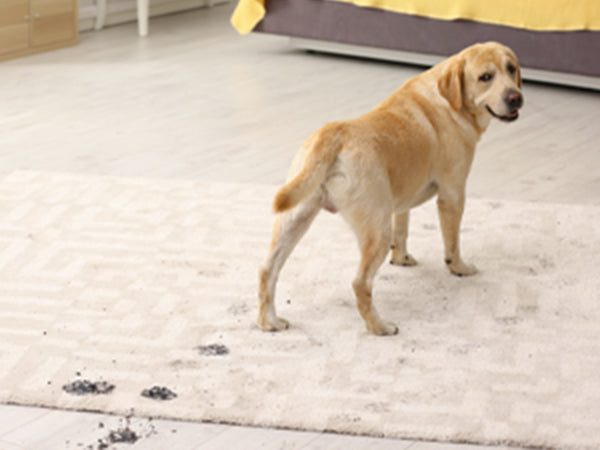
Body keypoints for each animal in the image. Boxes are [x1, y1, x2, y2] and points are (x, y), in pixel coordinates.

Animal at [260, 42, 524, 336]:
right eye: (485, 77)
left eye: (511, 69)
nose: (516, 98)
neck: (449, 100)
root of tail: (334, 132)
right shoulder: (453, 194)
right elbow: (452, 242)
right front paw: (459, 268)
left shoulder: (402, 201)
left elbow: (403, 229)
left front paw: (402, 258)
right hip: (377, 229)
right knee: (360, 283)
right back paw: (379, 327)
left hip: (295, 218)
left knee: (267, 269)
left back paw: (268, 322)